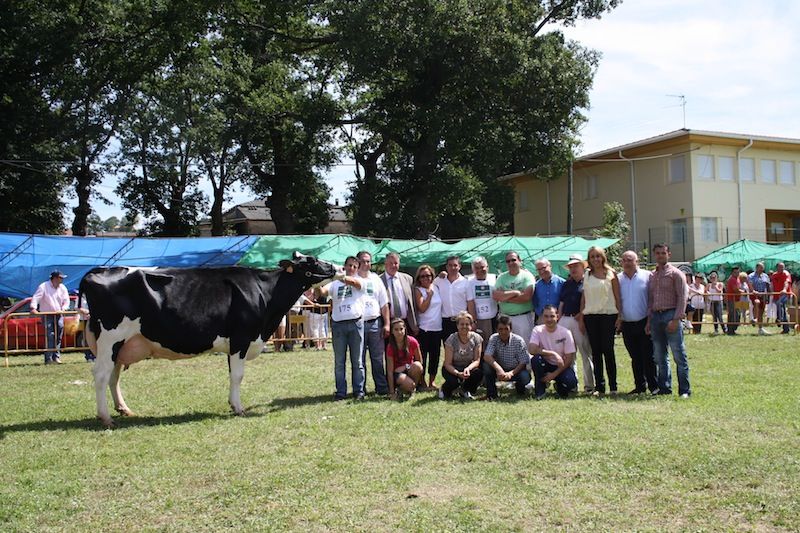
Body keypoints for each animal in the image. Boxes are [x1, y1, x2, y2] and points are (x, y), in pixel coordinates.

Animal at [76, 251, 338, 426]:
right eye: (312, 261)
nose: (336, 267)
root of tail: (98, 271)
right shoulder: (241, 338)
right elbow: (238, 375)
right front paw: (239, 408)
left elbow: (232, 374)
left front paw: (233, 404)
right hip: (110, 338)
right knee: (101, 375)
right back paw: (106, 417)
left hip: (121, 345)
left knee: (113, 376)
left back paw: (123, 409)